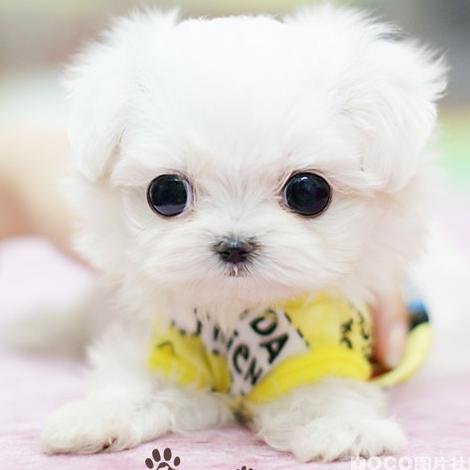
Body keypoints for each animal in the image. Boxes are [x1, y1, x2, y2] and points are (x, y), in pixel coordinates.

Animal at [40, 4, 446, 461]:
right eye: (166, 193)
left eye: (308, 191)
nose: (234, 246)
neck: (236, 314)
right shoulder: (166, 346)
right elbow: (133, 380)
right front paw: (92, 417)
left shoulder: (326, 346)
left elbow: (324, 390)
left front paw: (343, 427)